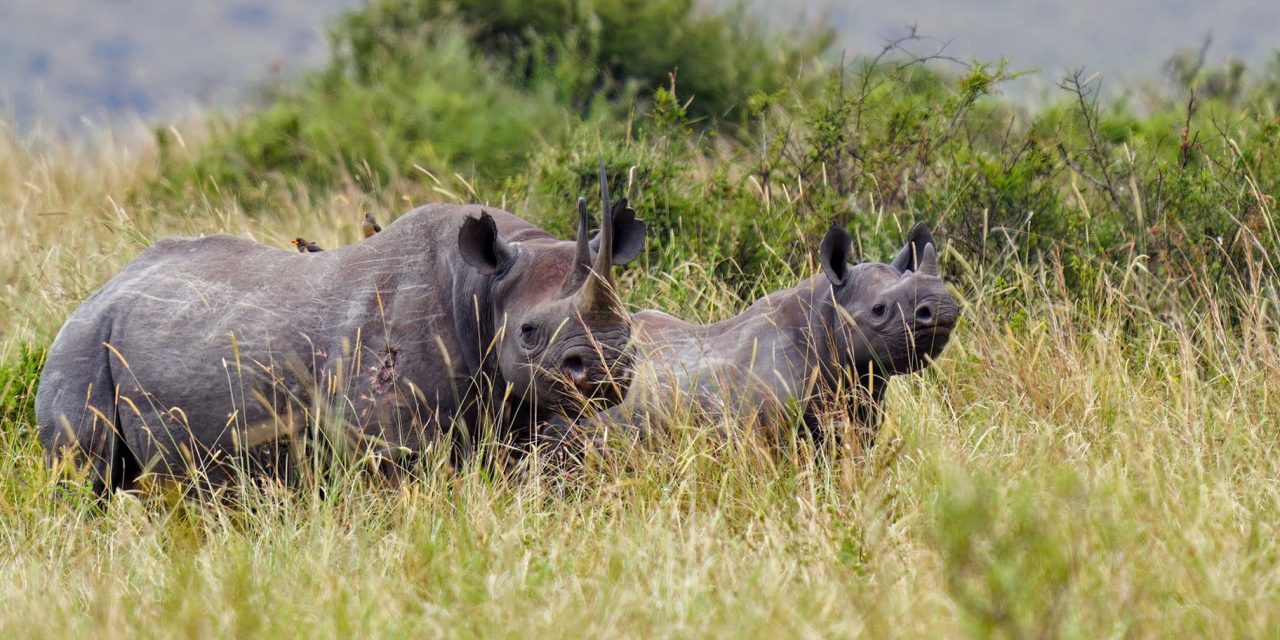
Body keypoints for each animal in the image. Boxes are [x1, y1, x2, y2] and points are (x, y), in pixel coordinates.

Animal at [36, 178, 647, 495]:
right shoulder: (384, 441)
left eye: (629, 325)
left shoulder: (518, 416)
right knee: (85, 479)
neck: (483, 285)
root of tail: (100, 290)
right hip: (81, 346)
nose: (605, 368)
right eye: (528, 332)